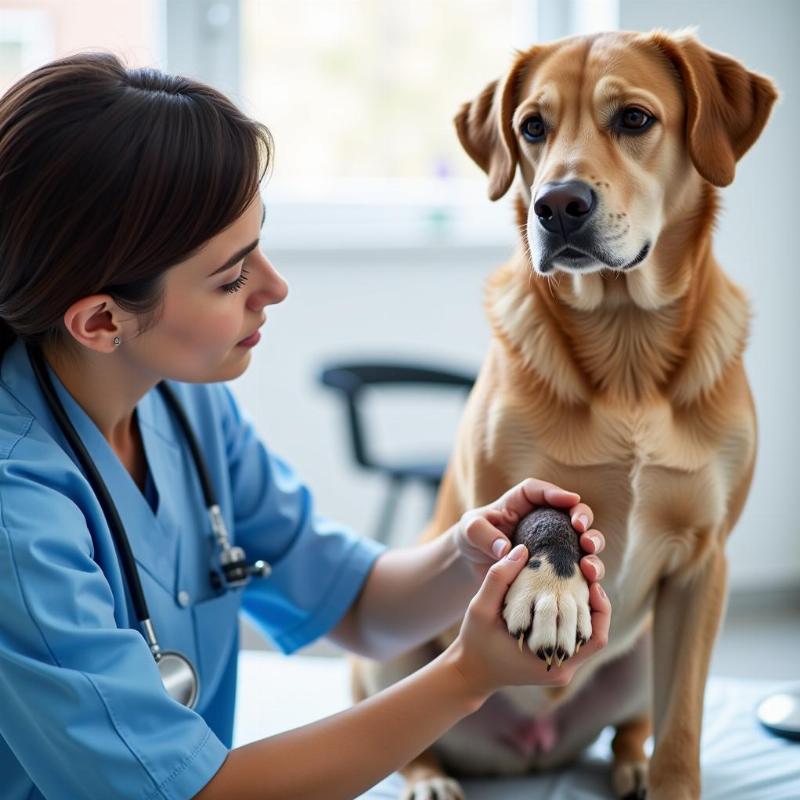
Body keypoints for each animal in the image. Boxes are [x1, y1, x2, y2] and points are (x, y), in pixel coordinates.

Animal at [354, 28, 776, 796]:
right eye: (532, 127)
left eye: (635, 118)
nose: (557, 205)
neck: (627, 351)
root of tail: (534, 750)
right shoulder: (500, 497)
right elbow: (542, 515)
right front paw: (553, 589)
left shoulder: (705, 566)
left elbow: (682, 732)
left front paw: (667, 778)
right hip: (385, 651)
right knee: (406, 735)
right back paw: (429, 777)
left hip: (646, 654)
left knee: (633, 730)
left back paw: (630, 767)